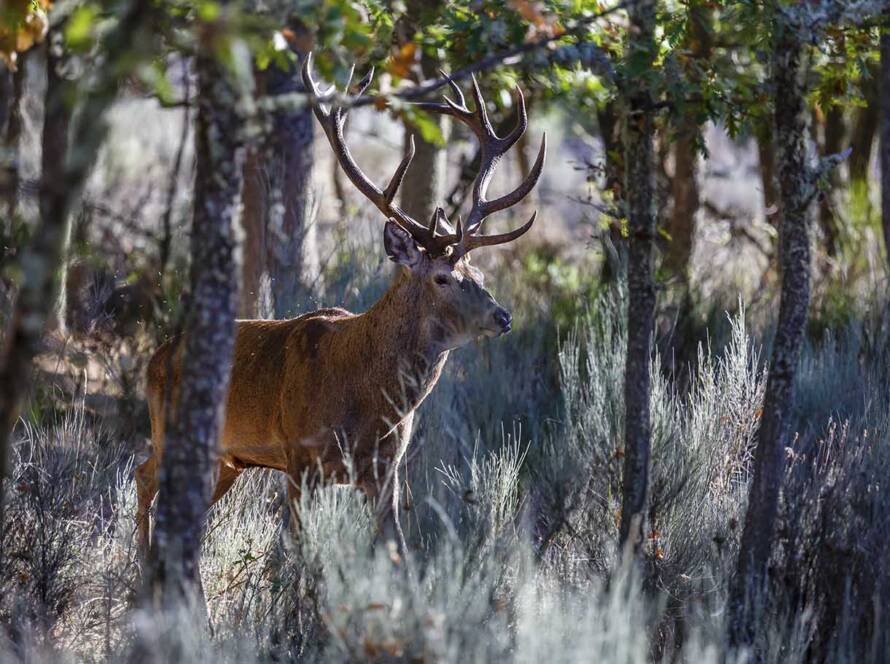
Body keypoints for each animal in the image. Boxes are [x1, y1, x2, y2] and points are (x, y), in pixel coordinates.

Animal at [135, 54, 544, 560]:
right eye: (442, 278)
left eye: (482, 275)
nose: (502, 317)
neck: (368, 404)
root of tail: (155, 356)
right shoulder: (298, 457)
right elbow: (292, 555)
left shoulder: (385, 471)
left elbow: (396, 549)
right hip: (171, 429)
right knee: (143, 475)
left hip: (228, 460)